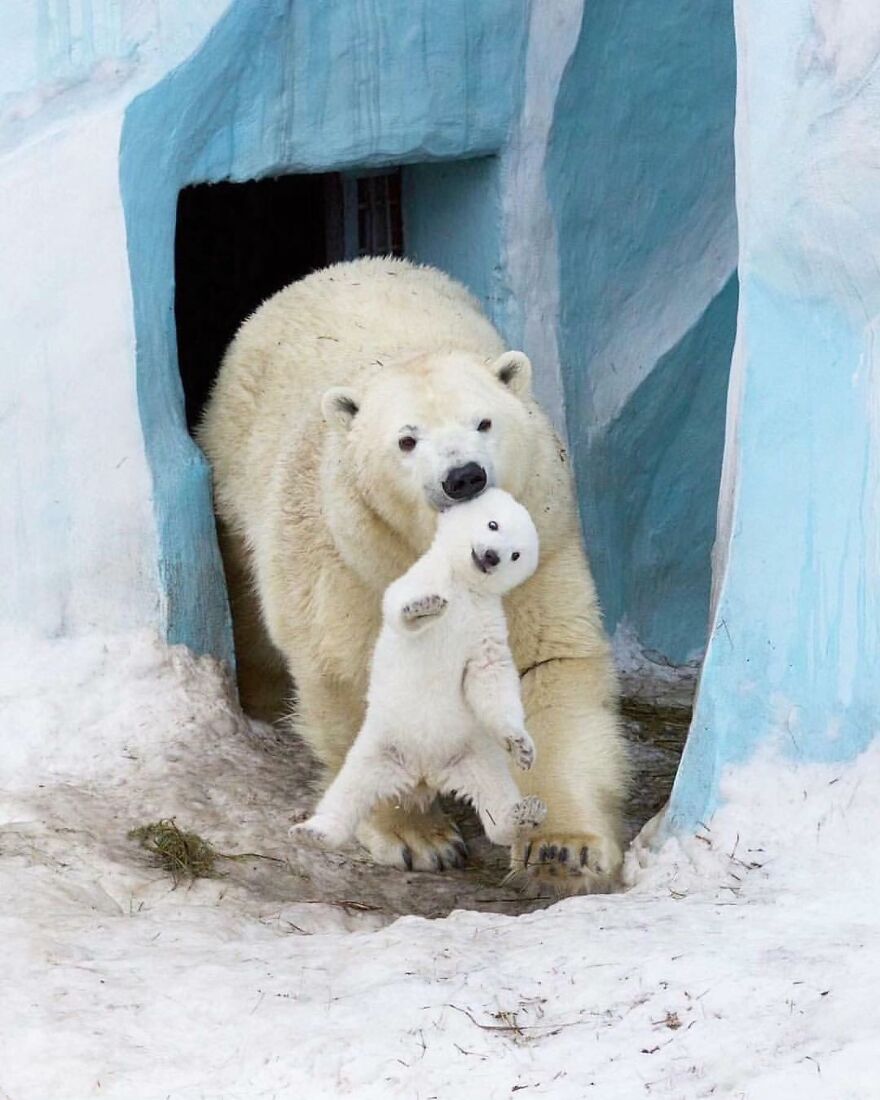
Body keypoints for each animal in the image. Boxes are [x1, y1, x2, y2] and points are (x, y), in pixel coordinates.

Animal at [289, 488, 547, 857]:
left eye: (516, 554)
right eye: (493, 524)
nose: (491, 556)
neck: (464, 587)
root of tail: (425, 773)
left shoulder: (486, 624)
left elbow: (490, 675)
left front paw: (522, 746)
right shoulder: (421, 576)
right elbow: (399, 605)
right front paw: (424, 607)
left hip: (473, 756)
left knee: (495, 798)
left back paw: (524, 814)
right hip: (379, 748)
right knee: (347, 792)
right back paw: (315, 832)